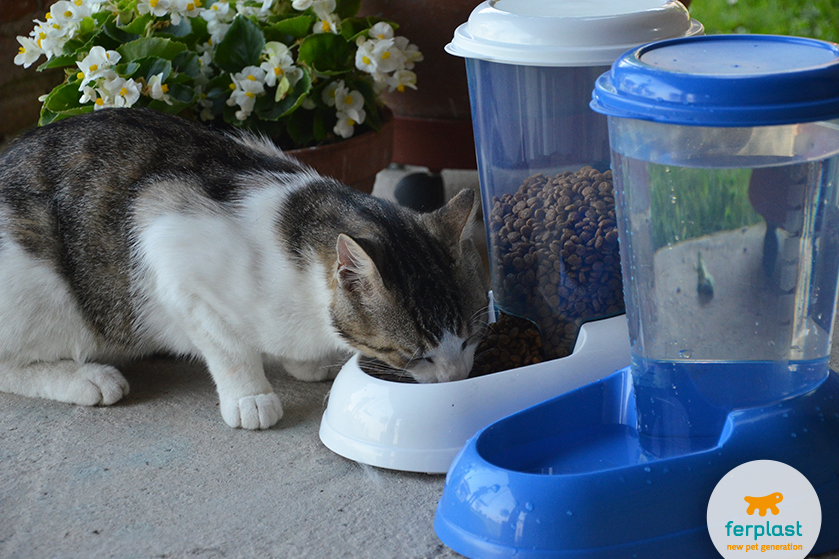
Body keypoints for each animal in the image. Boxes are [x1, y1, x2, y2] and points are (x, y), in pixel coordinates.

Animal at [0, 110, 488, 434]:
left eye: (469, 337)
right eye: (415, 355)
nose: (457, 379)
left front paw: (303, 363)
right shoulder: (169, 250)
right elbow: (227, 347)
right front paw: (251, 396)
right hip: (41, 294)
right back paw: (86, 378)